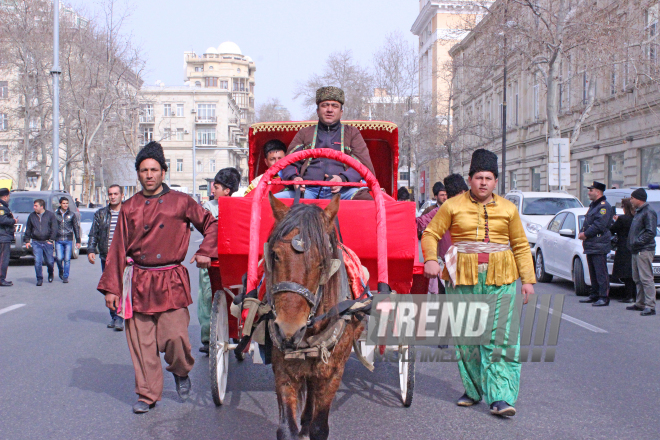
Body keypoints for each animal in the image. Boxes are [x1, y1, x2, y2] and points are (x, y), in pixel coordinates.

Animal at [266, 194, 364, 440]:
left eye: (322, 261)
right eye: (275, 255)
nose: (288, 330)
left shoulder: (332, 371)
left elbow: (320, 428)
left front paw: (312, 423)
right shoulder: (283, 367)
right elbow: (286, 429)